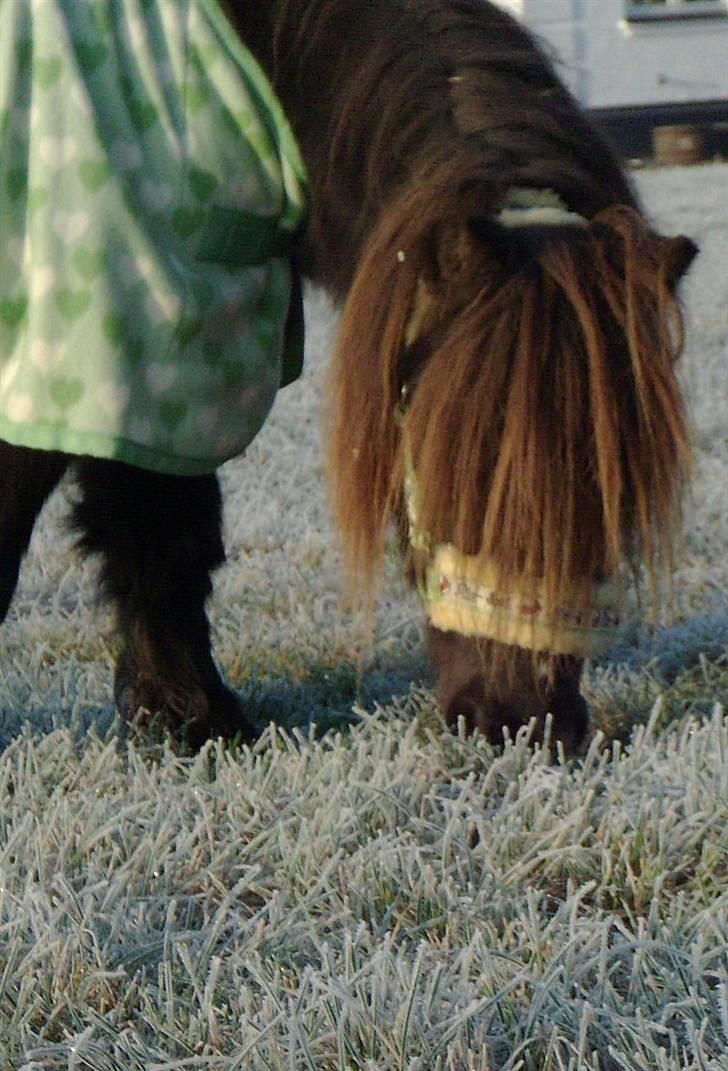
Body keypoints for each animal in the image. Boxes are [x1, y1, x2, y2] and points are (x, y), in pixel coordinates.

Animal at [0, 0, 697, 749]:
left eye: (620, 484)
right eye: (453, 456)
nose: (525, 725)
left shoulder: (168, 366)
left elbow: (162, 540)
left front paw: (190, 720)